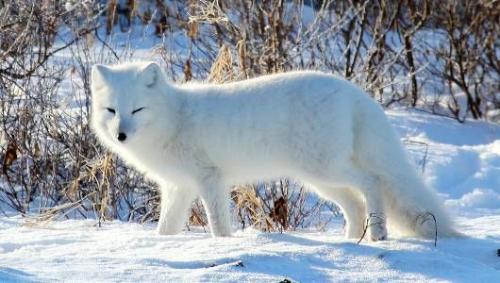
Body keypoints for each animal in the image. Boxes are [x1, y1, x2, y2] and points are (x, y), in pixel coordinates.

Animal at [90, 62, 458, 242]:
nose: (121, 135)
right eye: (111, 110)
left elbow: (218, 223)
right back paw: (348, 243)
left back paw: (379, 234)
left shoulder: (210, 179)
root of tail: (353, 92)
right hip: (319, 179)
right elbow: (165, 228)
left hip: (325, 169)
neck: (174, 118)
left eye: (137, 110)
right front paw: (160, 245)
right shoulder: (178, 187)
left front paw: (222, 245)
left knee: (373, 182)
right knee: (355, 204)